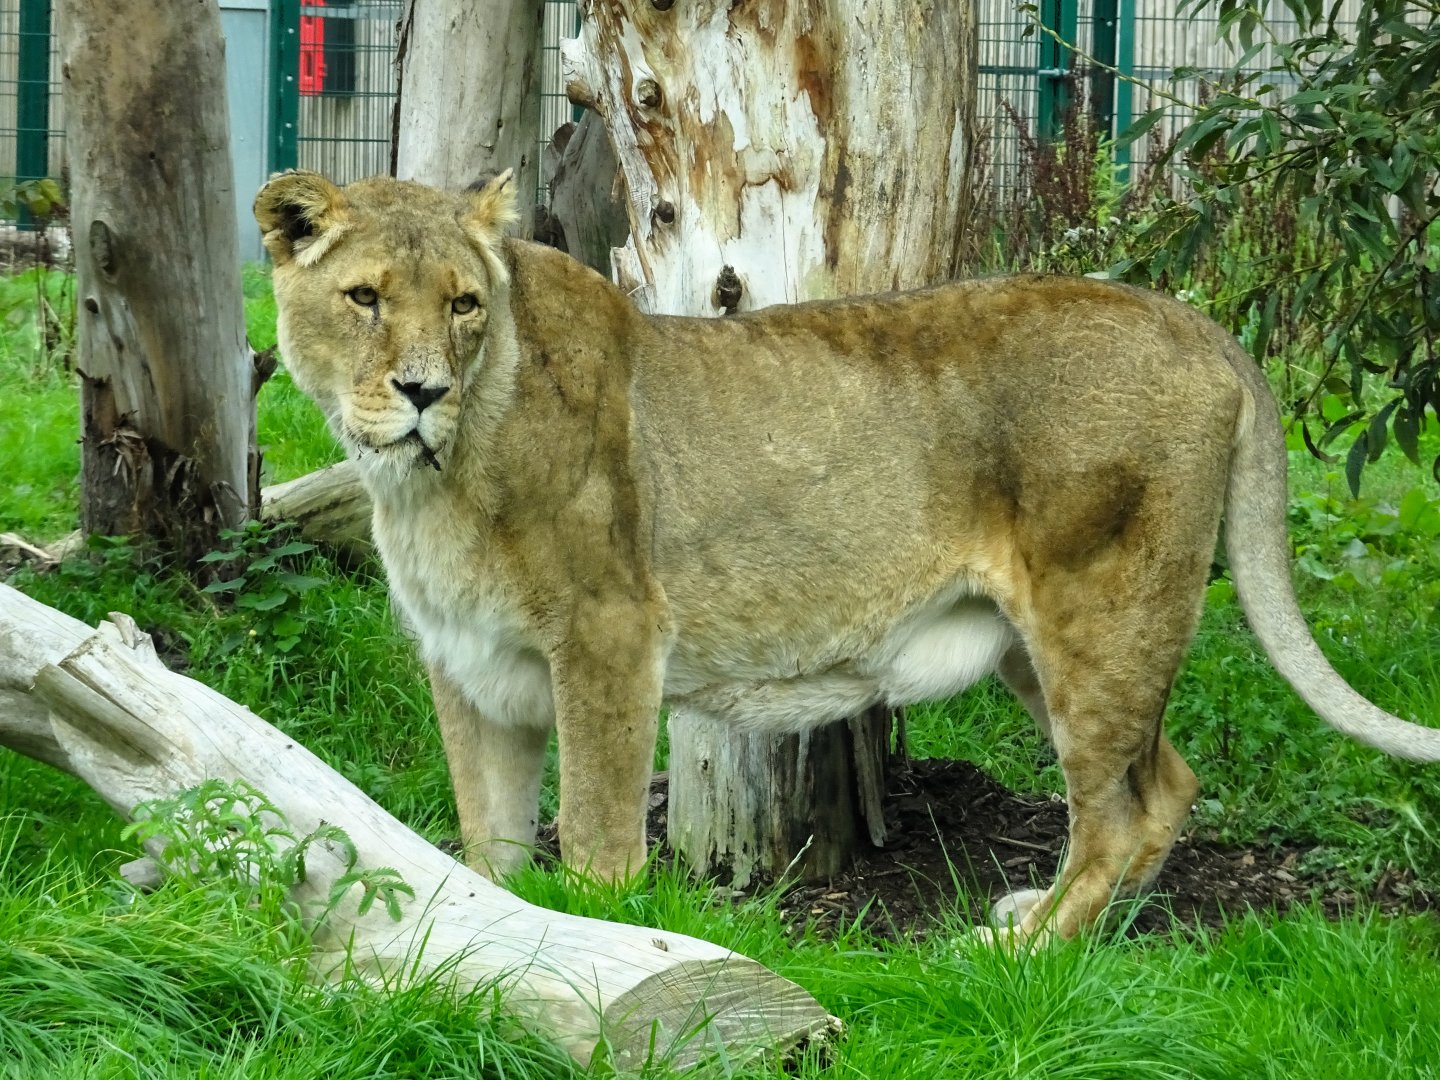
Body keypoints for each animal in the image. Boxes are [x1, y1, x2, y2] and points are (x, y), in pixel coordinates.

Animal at [254, 169, 1440, 943]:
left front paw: (598, 944)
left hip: (1102, 613)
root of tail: (1195, 322)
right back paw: (1070, 927)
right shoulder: (468, 665)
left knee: (1124, 806)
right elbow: (487, 843)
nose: (422, 391)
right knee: (1169, 782)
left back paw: (1025, 950)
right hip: (1040, 643)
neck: (434, 479)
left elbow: (592, 837)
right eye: (365, 298)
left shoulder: (608, 637)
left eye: (463, 304)